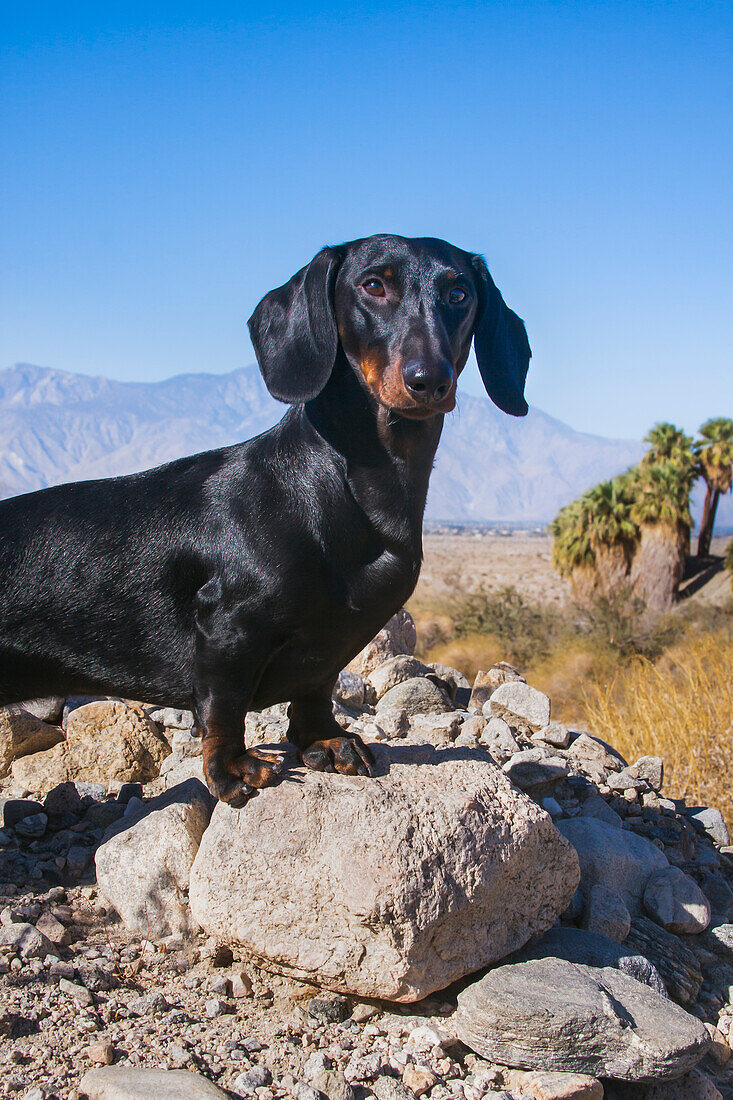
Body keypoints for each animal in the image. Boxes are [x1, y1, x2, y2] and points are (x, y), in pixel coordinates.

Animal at [0, 234, 526, 800]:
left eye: (458, 293)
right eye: (373, 285)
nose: (429, 380)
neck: (340, 488)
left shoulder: (330, 647)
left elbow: (316, 691)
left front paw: (325, 741)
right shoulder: (227, 630)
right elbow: (223, 708)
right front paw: (231, 768)